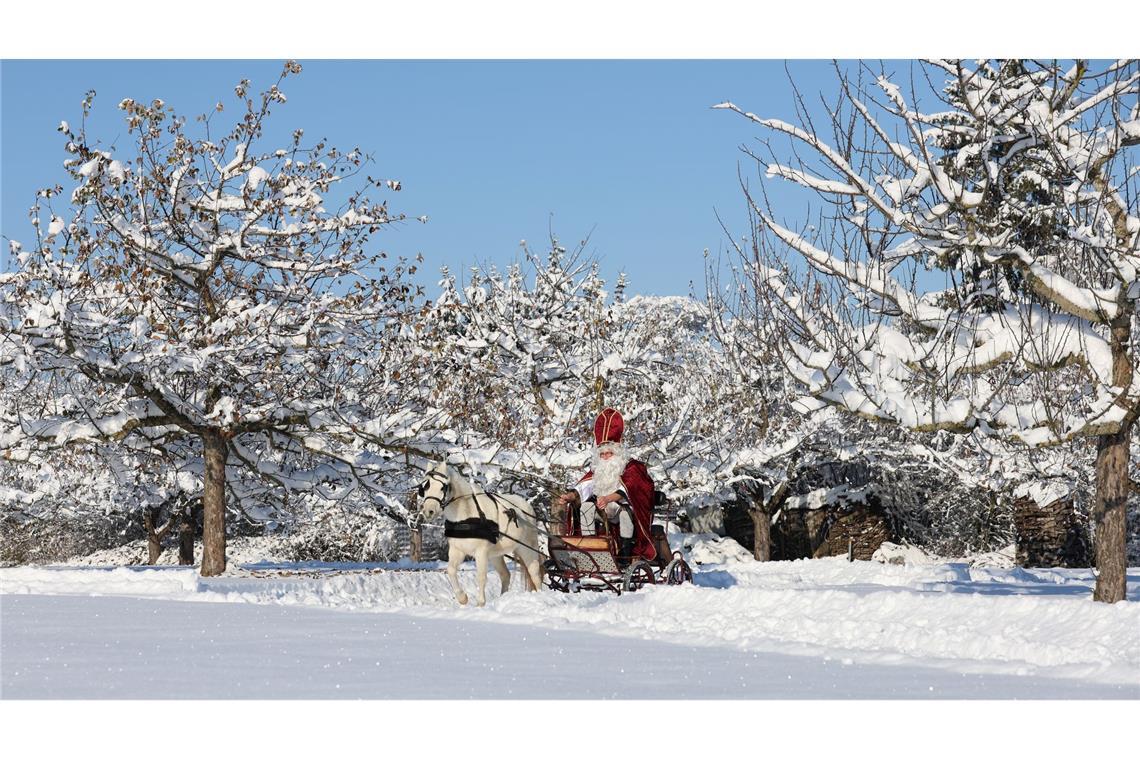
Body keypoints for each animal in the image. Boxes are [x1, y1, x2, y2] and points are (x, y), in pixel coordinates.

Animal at [417, 464, 544, 606]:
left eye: (442, 487)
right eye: (425, 487)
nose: (428, 511)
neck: (466, 515)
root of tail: (527, 507)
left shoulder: (481, 552)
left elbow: (481, 576)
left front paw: (480, 603)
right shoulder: (457, 550)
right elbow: (450, 570)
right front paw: (462, 598)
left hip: (527, 549)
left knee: (535, 574)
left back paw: (540, 595)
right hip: (496, 554)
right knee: (505, 575)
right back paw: (503, 598)